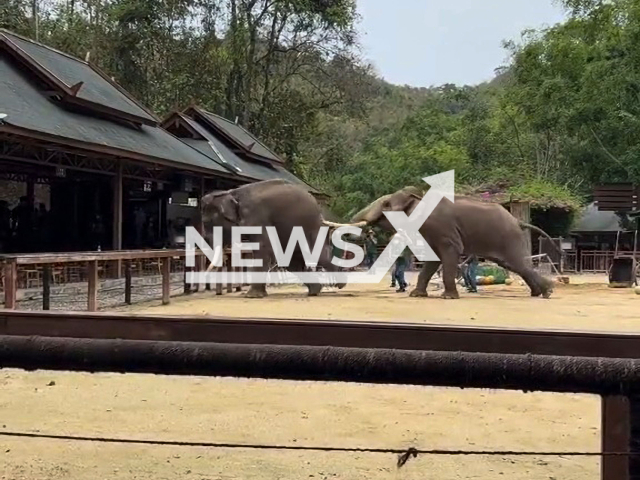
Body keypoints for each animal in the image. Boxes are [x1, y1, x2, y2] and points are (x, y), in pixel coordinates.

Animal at [201, 179, 356, 296]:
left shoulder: (257, 217)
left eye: (207, 222)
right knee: (291, 260)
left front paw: (252, 296)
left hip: (309, 226)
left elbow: (262, 249)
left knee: (317, 253)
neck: (231, 192)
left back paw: (340, 285)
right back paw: (314, 291)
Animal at [348, 186, 564, 298]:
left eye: (386, 204)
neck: (419, 197)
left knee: (518, 264)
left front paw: (448, 297)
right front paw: (417, 295)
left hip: (508, 238)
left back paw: (547, 292)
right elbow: (433, 260)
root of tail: (518, 220)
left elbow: (450, 253)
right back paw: (538, 293)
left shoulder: (443, 230)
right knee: (514, 265)